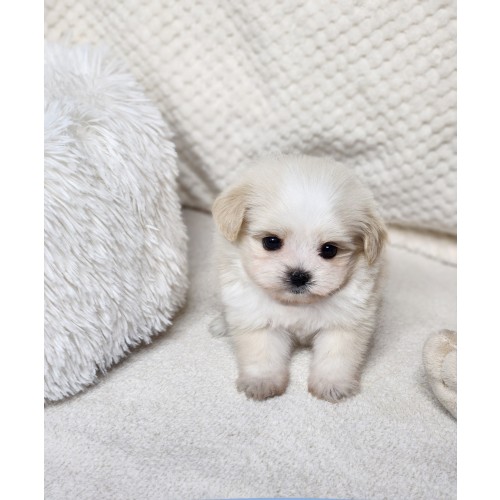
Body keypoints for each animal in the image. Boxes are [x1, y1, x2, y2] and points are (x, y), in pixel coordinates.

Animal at [211, 154, 387, 402]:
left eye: (329, 250)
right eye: (271, 242)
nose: (299, 276)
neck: (298, 304)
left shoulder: (345, 322)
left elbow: (336, 357)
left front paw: (332, 384)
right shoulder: (258, 319)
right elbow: (262, 354)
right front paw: (262, 382)